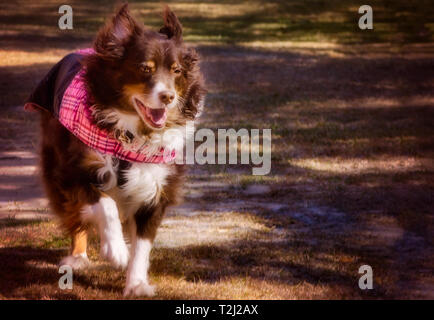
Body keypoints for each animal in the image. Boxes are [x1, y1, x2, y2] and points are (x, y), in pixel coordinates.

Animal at [38, 3, 204, 296]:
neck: (132, 134)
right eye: (145, 69)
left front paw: (136, 283)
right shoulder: (74, 169)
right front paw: (116, 251)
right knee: (74, 212)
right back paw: (78, 257)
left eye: (177, 71)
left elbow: (143, 243)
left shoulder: (158, 184)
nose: (168, 97)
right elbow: (105, 205)